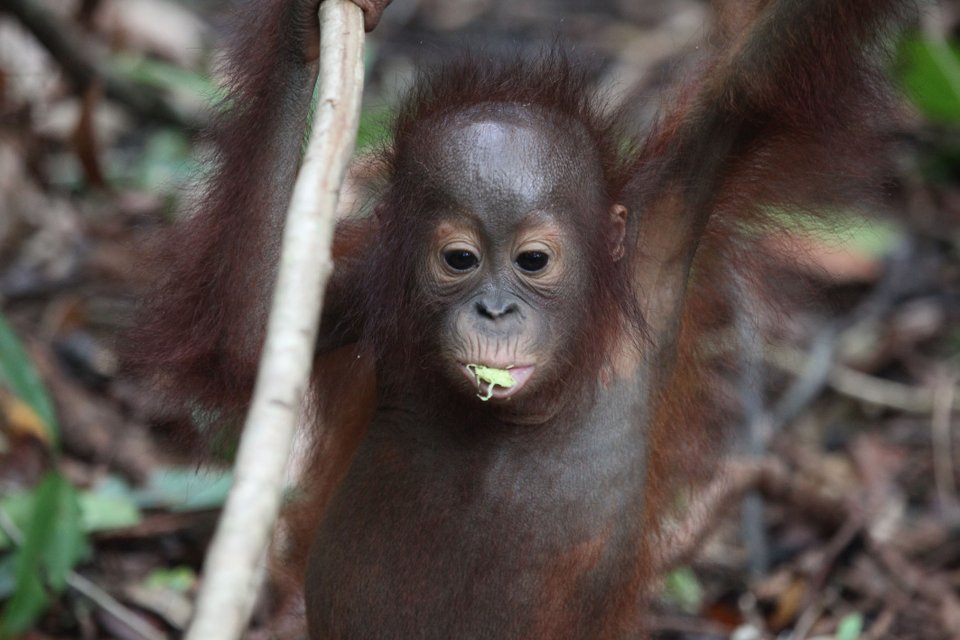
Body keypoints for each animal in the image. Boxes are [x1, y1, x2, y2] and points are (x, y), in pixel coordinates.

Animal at [130, 0, 911, 637]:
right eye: (460, 259)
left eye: (533, 260)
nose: (496, 308)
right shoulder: (366, 287)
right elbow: (251, 339)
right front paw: (304, 32)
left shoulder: (664, 232)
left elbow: (751, 82)